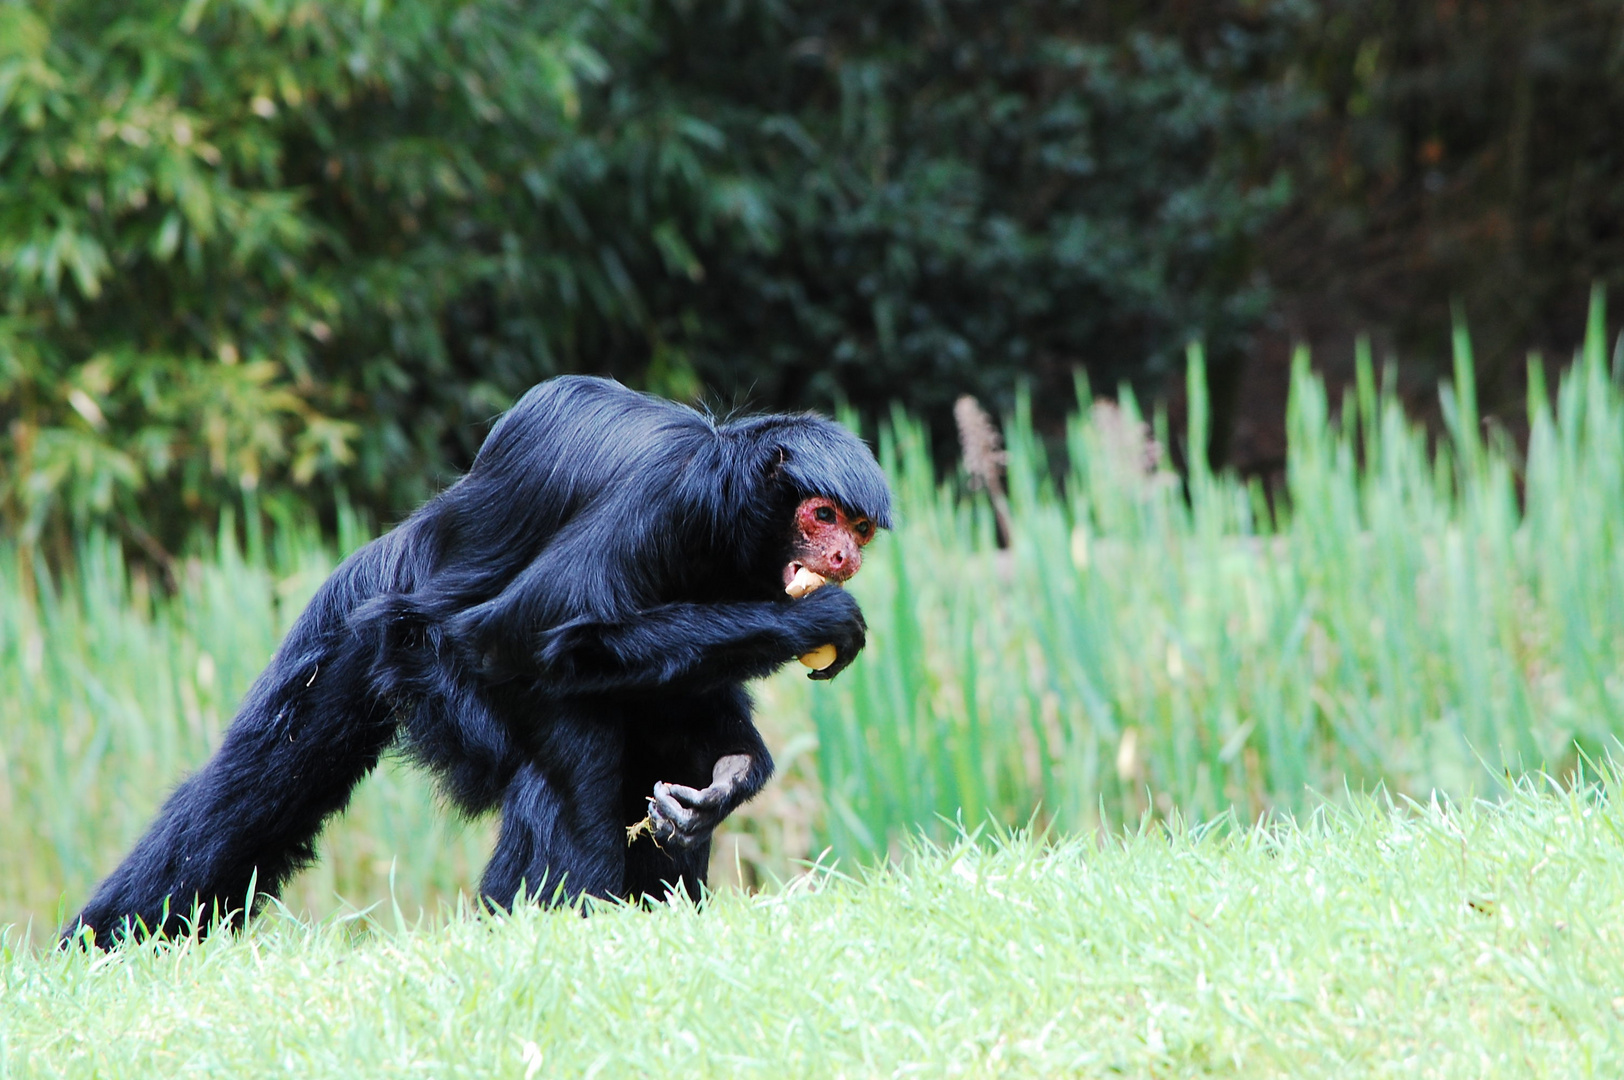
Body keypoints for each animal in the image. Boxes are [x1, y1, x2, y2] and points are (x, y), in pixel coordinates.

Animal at [66, 376, 889, 941]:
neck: (728, 493)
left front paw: (725, 781)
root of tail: (401, 551)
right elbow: (529, 633)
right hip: (425, 664)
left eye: (858, 528)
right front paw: (818, 619)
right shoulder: (668, 503)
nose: (845, 557)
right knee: (568, 721)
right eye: (822, 515)